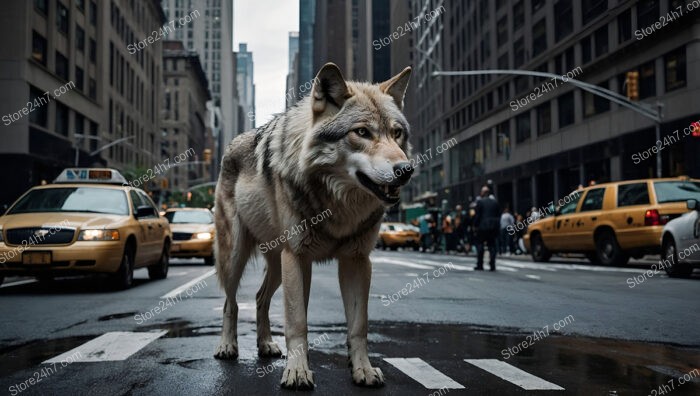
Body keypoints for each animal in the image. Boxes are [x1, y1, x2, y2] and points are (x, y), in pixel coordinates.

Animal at [211, 63, 412, 388]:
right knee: (232, 302)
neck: (339, 203)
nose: (406, 170)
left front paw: (363, 370)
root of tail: (231, 144)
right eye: (362, 132)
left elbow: (358, 326)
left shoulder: (357, 260)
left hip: (277, 264)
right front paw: (296, 372)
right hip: (235, 257)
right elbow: (297, 323)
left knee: (259, 298)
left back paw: (265, 344)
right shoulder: (298, 258)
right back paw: (227, 345)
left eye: (397, 133)